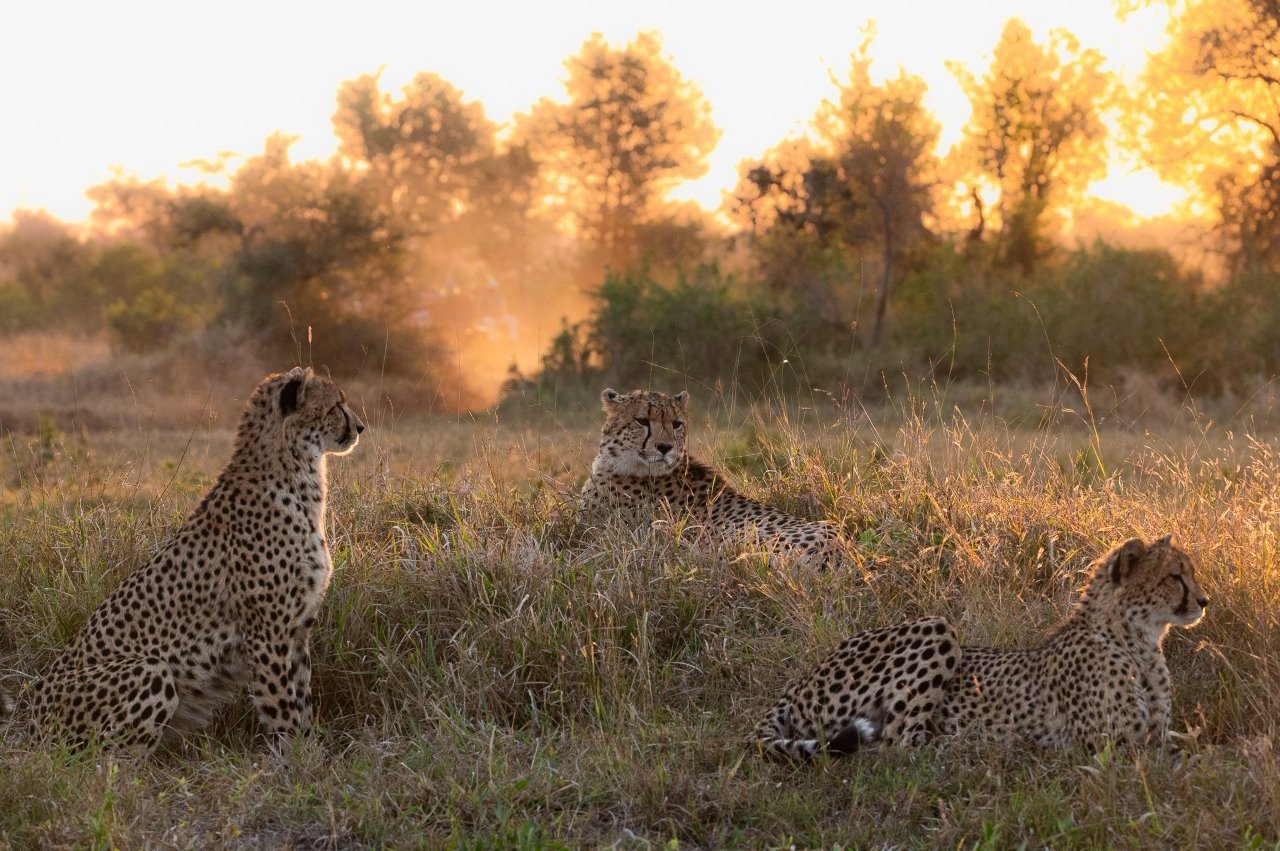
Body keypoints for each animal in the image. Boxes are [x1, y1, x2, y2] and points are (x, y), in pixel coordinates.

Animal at [0, 367, 363, 752]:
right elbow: (283, 706)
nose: (360, 427)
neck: (298, 474)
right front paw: (296, 757)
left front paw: (311, 752)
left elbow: (301, 701)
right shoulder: (267, 632)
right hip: (150, 669)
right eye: (336, 405)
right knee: (106, 758)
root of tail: (32, 719)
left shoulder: (297, 629)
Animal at [753, 535, 1208, 760]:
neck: (1136, 640)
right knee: (896, 745)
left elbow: (1191, 745)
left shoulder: (1153, 734)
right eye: (1175, 576)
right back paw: (980, 744)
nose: (1205, 601)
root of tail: (802, 680)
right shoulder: (1111, 747)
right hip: (936, 628)